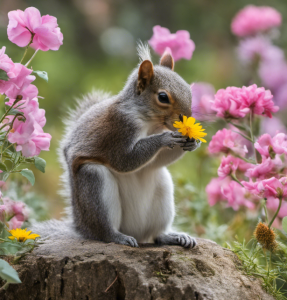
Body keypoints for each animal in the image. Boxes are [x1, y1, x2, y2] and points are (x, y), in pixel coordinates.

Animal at [32, 42, 201, 248]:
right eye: (163, 97)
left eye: (189, 91)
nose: (187, 119)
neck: (150, 122)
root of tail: (82, 228)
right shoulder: (119, 129)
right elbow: (124, 160)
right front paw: (166, 138)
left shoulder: (153, 157)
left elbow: (156, 161)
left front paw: (193, 141)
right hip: (95, 184)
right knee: (104, 230)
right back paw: (117, 237)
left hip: (163, 187)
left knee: (156, 235)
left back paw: (173, 237)